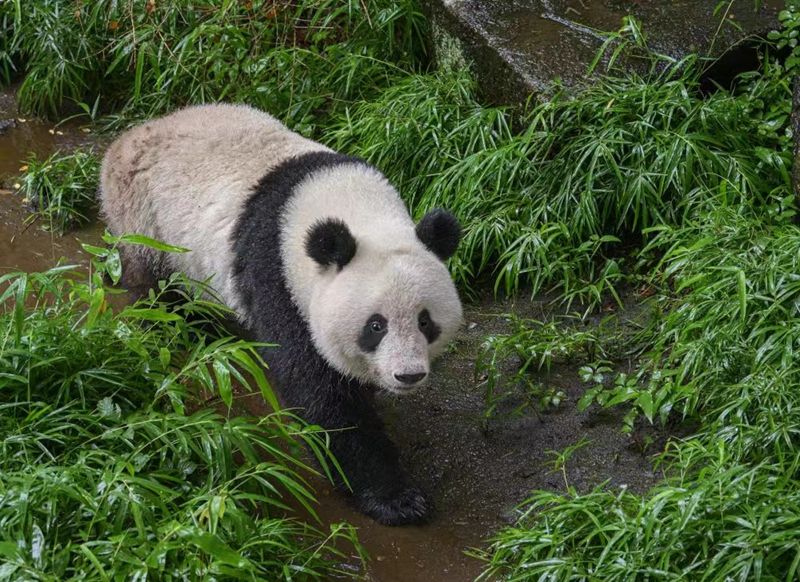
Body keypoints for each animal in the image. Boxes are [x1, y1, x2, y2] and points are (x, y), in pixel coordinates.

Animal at [99, 102, 462, 528]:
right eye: (376, 326)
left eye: (425, 321)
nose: (408, 375)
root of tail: (130, 135)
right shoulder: (277, 276)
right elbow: (315, 391)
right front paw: (395, 497)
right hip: (145, 216)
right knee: (155, 284)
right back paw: (179, 327)